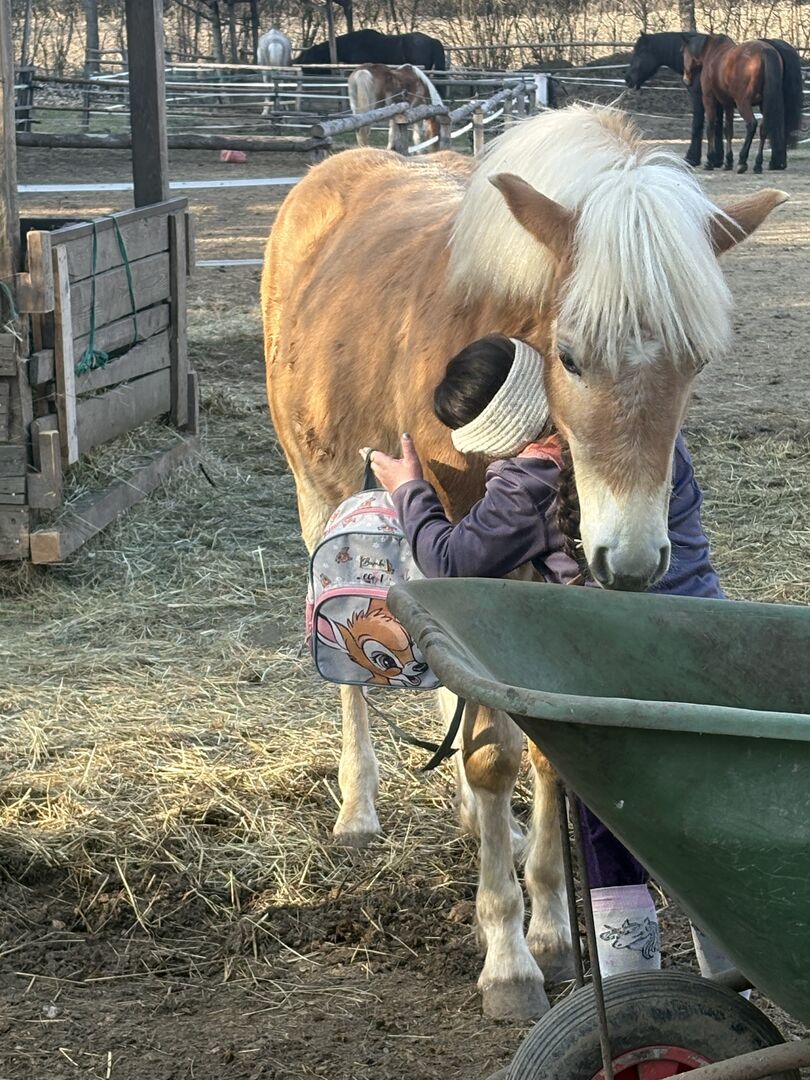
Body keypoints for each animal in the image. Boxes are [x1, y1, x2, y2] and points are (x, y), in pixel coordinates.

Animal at [262, 105, 786, 1019]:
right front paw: (508, 959)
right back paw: (359, 806)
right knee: (352, 673)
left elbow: (539, 743)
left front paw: (548, 927)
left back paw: (481, 822)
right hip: (316, 490)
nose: (634, 558)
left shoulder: (536, 580)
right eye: (571, 354)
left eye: (695, 362)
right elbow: (493, 754)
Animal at [683, 33, 800, 172]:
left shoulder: (709, 99)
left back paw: (743, 161)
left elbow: (710, 127)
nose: (686, 80)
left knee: (752, 124)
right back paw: (758, 164)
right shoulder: (727, 104)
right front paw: (728, 162)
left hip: (743, 103)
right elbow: (728, 130)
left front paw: (710, 161)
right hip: (764, 105)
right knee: (764, 128)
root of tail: (765, 51)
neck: (712, 53)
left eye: (683, 53)